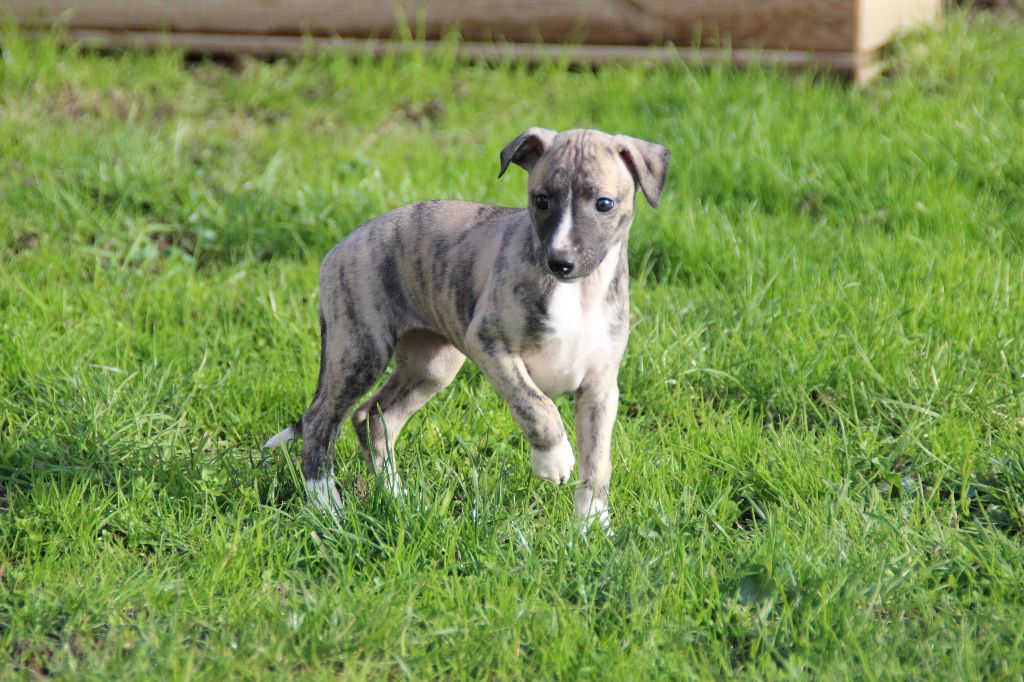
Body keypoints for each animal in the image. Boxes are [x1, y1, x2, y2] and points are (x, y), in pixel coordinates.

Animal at [264, 127, 669, 532]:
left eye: (604, 203)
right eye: (541, 200)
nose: (560, 262)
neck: (578, 294)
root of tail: (339, 247)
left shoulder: (600, 388)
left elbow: (598, 461)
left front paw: (591, 527)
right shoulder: (490, 344)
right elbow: (536, 406)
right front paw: (553, 459)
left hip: (430, 366)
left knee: (375, 419)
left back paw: (398, 499)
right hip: (360, 350)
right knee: (320, 422)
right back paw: (326, 509)